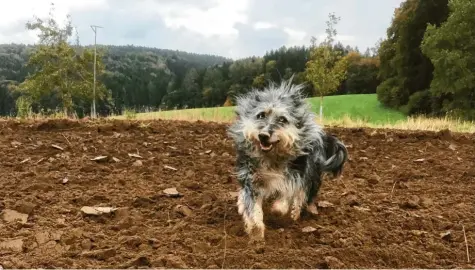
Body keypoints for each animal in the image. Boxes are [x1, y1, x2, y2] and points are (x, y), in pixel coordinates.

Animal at [227, 77, 350, 242]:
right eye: (261, 115)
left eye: (282, 119)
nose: (263, 135)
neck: (272, 158)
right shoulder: (251, 179)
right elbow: (253, 208)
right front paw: (256, 231)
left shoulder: (294, 176)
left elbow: (286, 197)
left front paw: (277, 210)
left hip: (311, 177)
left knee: (303, 196)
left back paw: (299, 213)